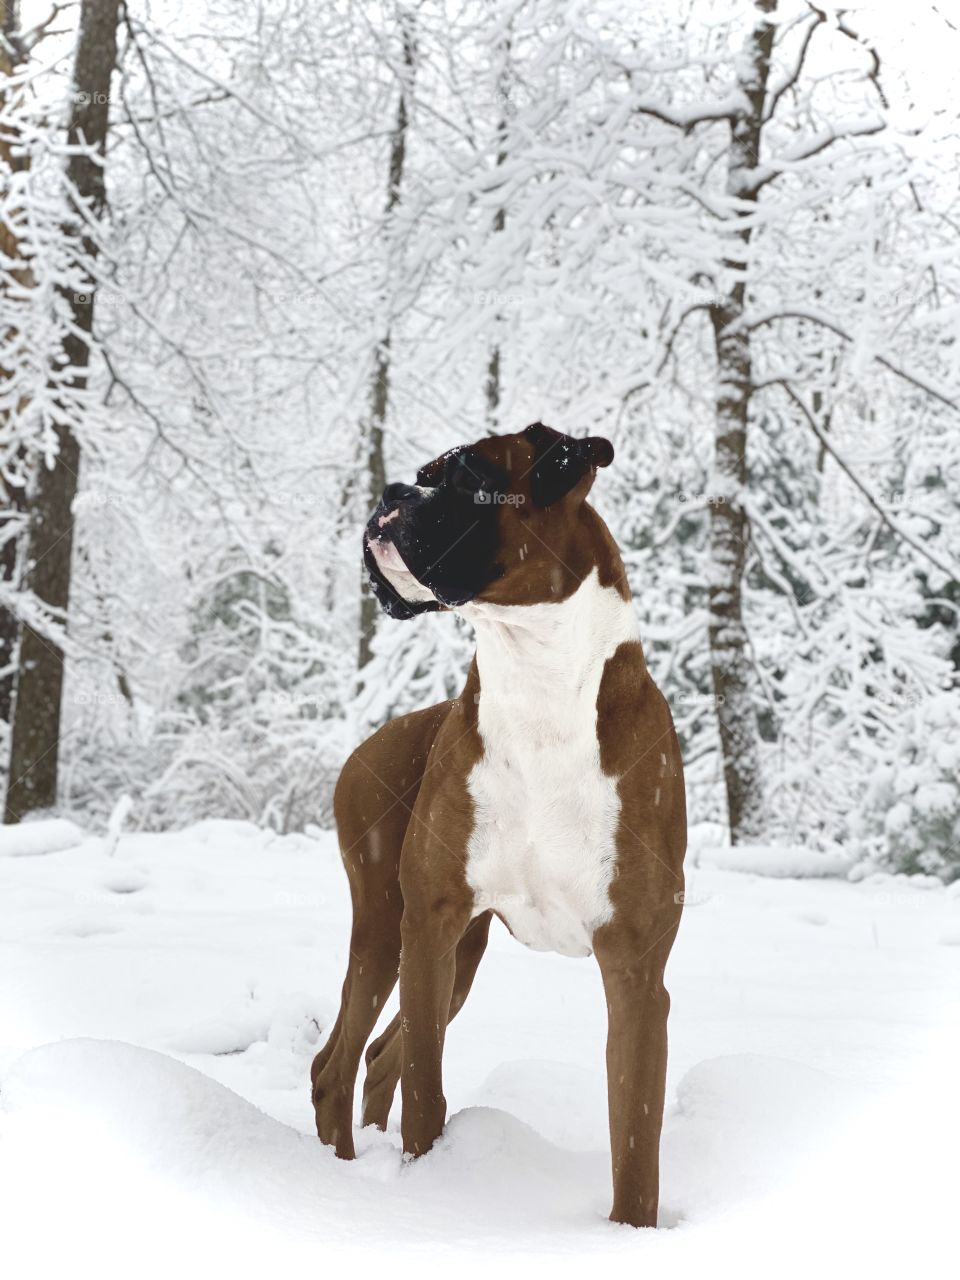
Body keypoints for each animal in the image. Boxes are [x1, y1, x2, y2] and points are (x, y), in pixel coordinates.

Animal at [312, 424, 686, 1223]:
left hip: (459, 955)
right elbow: (425, 1091)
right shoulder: (431, 926)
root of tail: (376, 737)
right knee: (339, 1063)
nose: (391, 493)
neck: (536, 680)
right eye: (423, 474)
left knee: (373, 1058)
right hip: (389, 929)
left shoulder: (635, 972)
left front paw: (631, 1234)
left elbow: (636, 1142)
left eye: (470, 477)